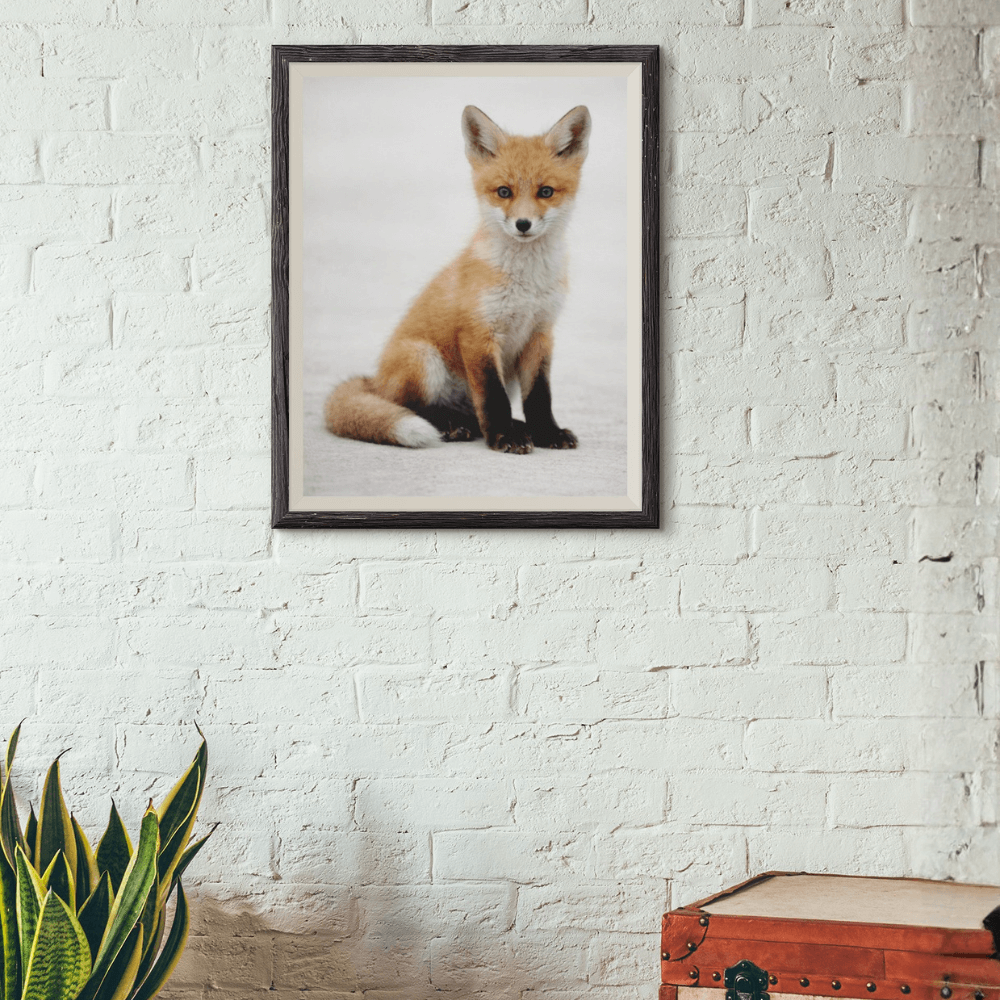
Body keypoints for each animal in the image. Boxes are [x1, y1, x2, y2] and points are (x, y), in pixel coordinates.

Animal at [324, 103, 591, 455]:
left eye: (545, 192)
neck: (526, 283)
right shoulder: (479, 334)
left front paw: (546, 432)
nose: (523, 224)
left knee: (473, 414)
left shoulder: (540, 334)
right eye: (504, 192)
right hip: (423, 359)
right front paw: (504, 437)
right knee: (411, 407)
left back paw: (503, 426)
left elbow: (539, 396)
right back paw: (450, 426)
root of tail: (375, 381)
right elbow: (492, 398)